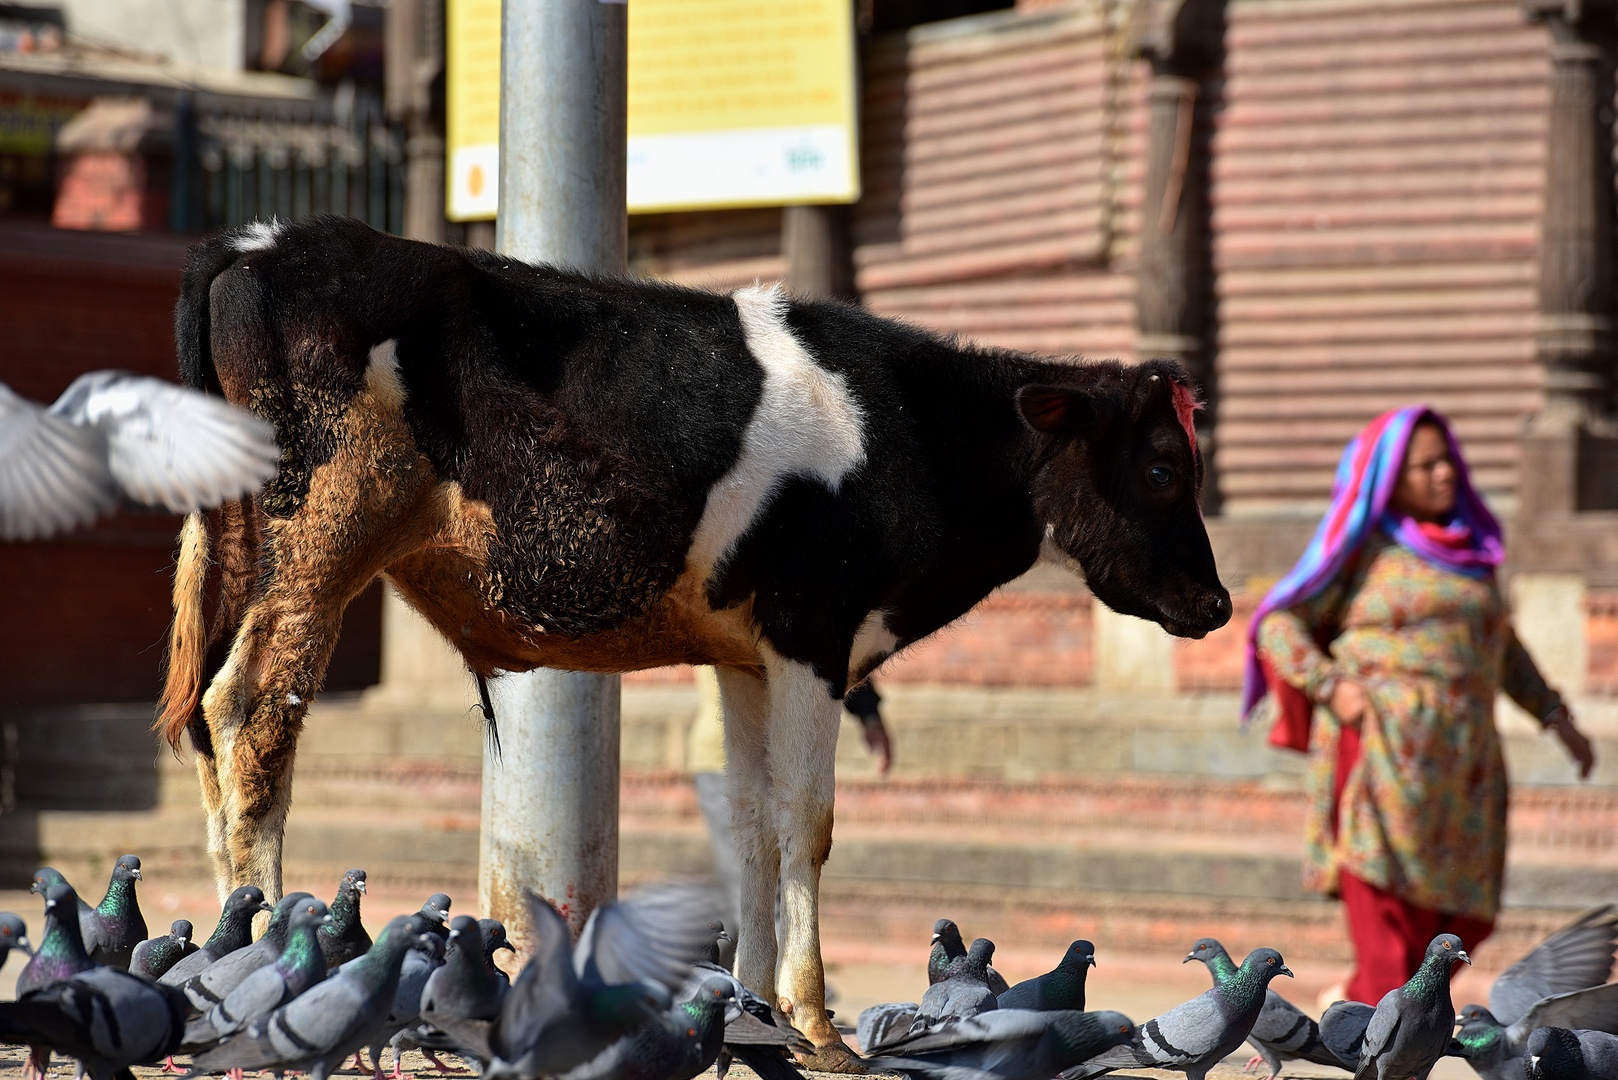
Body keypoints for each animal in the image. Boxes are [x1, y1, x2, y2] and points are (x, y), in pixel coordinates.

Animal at [160, 215, 1223, 1068]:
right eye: (1163, 469)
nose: (1214, 602)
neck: (911, 432)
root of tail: (262, 243)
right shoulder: (811, 633)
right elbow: (806, 819)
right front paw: (816, 1023)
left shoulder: (748, 654)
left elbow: (750, 821)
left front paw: (759, 1012)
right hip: (327, 527)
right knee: (252, 709)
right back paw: (269, 962)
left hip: (241, 539)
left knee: (208, 722)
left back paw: (224, 960)